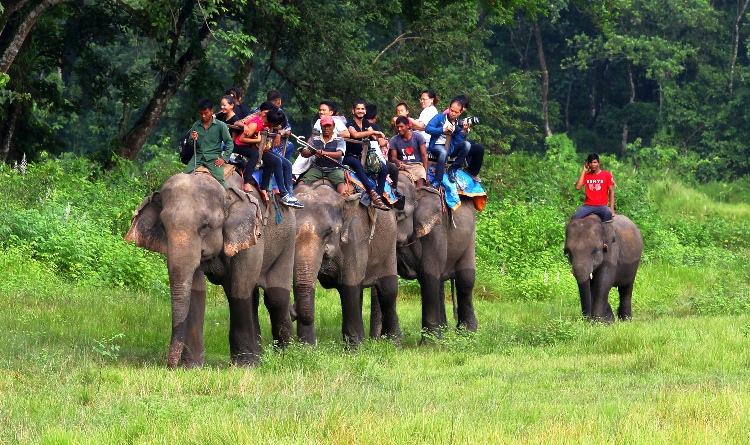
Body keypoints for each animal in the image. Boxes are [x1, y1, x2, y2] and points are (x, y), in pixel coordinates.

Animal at [124, 168, 296, 366]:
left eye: (205, 226)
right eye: (163, 226)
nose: (170, 366)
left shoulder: (252, 236)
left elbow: (239, 287)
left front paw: (243, 366)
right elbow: (196, 288)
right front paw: (191, 367)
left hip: (288, 239)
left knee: (276, 297)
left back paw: (287, 354)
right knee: (254, 298)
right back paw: (260, 357)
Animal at [292, 179, 402, 346]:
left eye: (329, 231)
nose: (292, 311)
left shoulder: (355, 235)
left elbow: (349, 286)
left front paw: (356, 349)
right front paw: (306, 348)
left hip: (389, 243)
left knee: (388, 291)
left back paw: (393, 343)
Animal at [390, 172, 478, 338]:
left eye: (400, 215)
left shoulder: (435, 231)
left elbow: (429, 274)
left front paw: (429, 343)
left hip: (470, 234)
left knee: (465, 279)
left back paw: (466, 333)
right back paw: (444, 331)